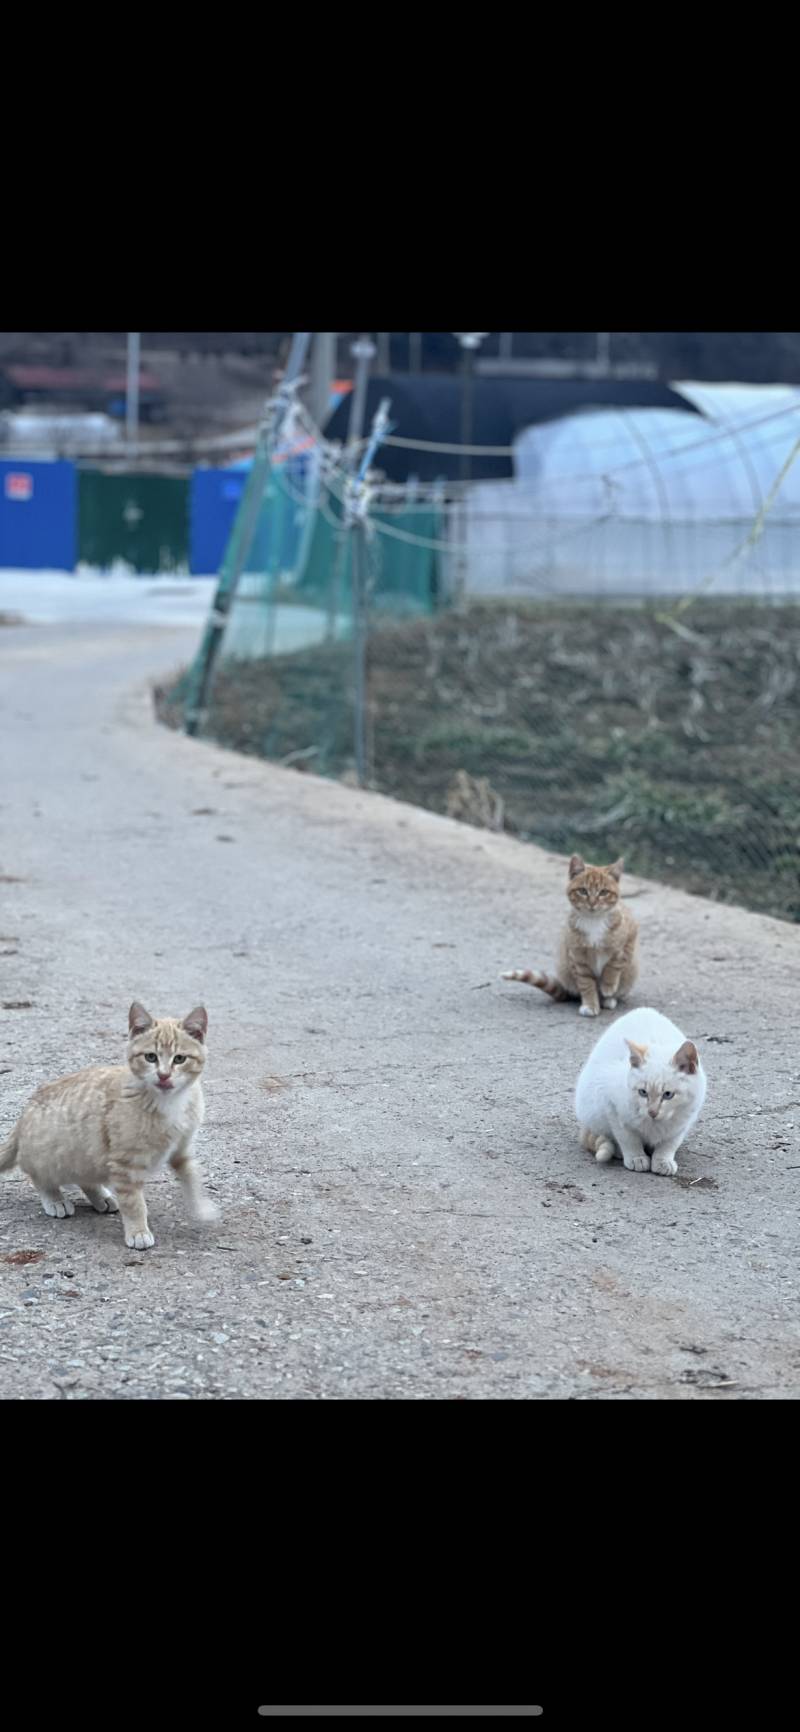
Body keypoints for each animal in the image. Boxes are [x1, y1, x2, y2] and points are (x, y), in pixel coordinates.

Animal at [0, 1011, 215, 1253]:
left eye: (179, 1059)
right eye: (151, 1057)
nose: (163, 1075)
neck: (169, 1102)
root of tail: (22, 1118)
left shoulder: (181, 1149)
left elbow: (192, 1177)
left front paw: (202, 1208)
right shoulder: (125, 1165)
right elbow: (134, 1203)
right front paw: (138, 1232)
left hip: (87, 1155)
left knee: (85, 1178)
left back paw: (101, 1197)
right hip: (53, 1156)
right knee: (39, 1177)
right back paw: (55, 1200)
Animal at [502, 852, 640, 1011]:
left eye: (604, 892)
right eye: (583, 891)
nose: (592, 903)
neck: (593, 922)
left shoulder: (630, 937)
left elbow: (615, 964)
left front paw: (608, 985)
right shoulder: (577, 956)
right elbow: (586, 983)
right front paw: (590, 1005)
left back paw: (609, 1000)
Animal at [574, 1004, 706, 1177]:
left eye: (668, 1095)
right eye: (643, 1092)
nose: (652, 1112)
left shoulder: (684, 1119)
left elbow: (670, 1142)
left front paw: (662, 1160)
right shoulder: (612, 1105)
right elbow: (627, 1137)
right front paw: (636, 1157)